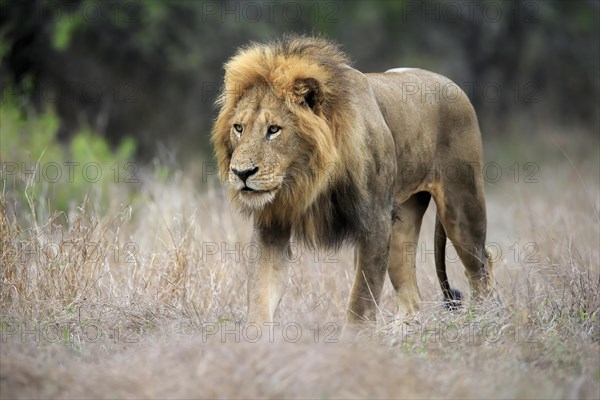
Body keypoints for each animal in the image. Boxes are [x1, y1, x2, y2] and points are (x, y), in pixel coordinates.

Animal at [213, 32, 494, 324]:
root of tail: (450, 83)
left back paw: (481, 319)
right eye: (239, 128)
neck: (308, 179)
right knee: (411, 296)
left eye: (274, 130)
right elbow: (260, 296)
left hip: (461, 208)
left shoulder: (375, 222)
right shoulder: (272, 226)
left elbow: (360, 303)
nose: (241, 173)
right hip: (403, 221)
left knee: (481, 268)